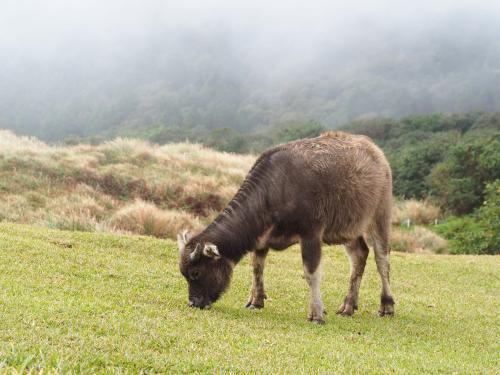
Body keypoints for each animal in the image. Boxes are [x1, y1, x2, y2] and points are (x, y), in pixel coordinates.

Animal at [179, 131, 394, 324]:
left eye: (196, 273)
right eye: (184, 274)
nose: (193, 303)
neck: (275, 190)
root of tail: (376, 153)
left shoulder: (311, 234)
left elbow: (311, 273)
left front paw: (316, 313)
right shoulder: (261, 239)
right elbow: (257, 268)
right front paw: (256, 301)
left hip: (380, 214)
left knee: (382, 260)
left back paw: (387, 305)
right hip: (348, 228)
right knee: (359, 255)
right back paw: (348, 306)